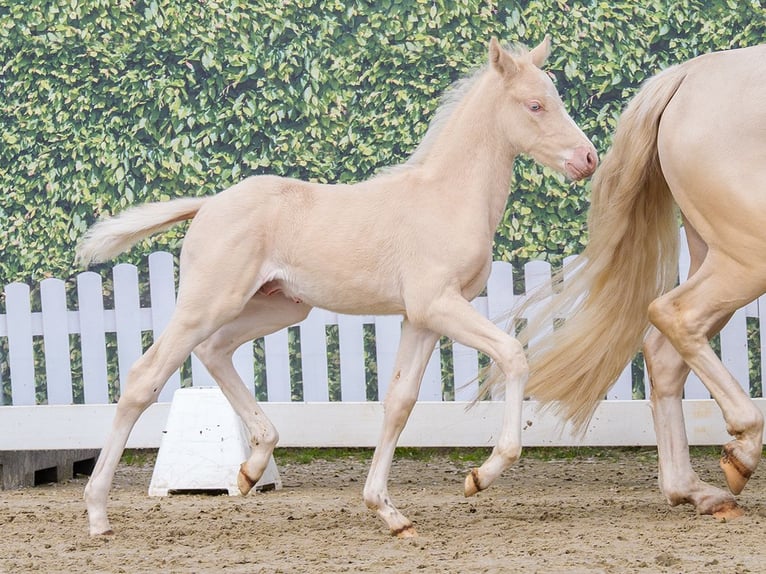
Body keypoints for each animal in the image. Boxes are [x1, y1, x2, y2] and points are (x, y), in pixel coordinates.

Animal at [481, 43, 766, 520]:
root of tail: (688, 75)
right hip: (747, 254)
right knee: (675, 315)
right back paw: (740, 453)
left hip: (719, 255)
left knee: (664, 351)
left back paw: (694, 490)